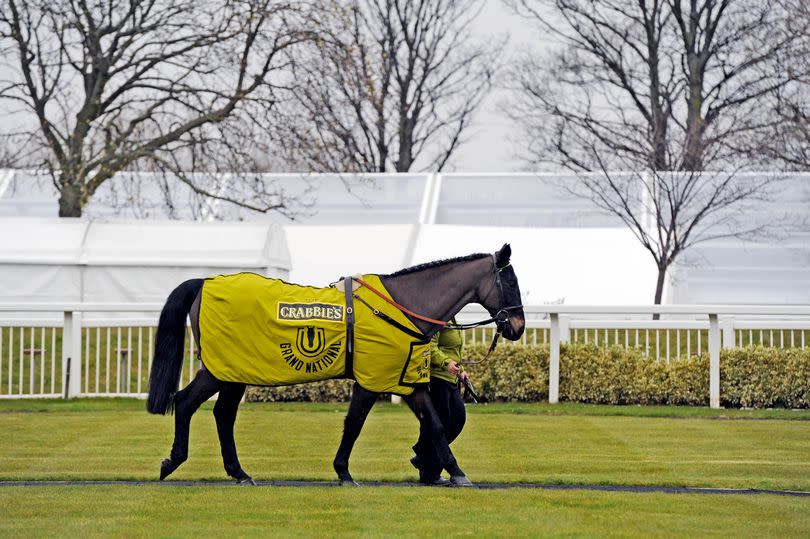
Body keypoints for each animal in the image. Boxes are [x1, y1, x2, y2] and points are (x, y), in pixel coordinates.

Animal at [145, 243, 524, 488]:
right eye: (510, 282)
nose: (517, 326)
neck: (401, 305)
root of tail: (204, 283)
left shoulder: (403, 379)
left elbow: (435, 423)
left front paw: (450, 469)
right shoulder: (372, 379)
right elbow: (355, 424)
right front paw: (343, 471)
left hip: (233, 371)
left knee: (222, 414)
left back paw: (238, 472)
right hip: (219, 370)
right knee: (186, 402)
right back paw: (173, 461)